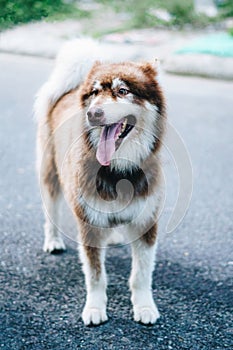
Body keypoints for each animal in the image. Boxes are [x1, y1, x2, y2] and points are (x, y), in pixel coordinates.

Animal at [34, 39, 166, 326]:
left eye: (122, 90)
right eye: (95, 93)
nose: (93, 113)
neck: (119, 170)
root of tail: (69, 89)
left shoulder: (145, 221)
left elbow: (141, 274)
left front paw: (144, 306)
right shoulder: (89, 224)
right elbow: (95, 276)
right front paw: (95, 308)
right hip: (50, 175)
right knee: (51, 212)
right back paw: (53, 241)